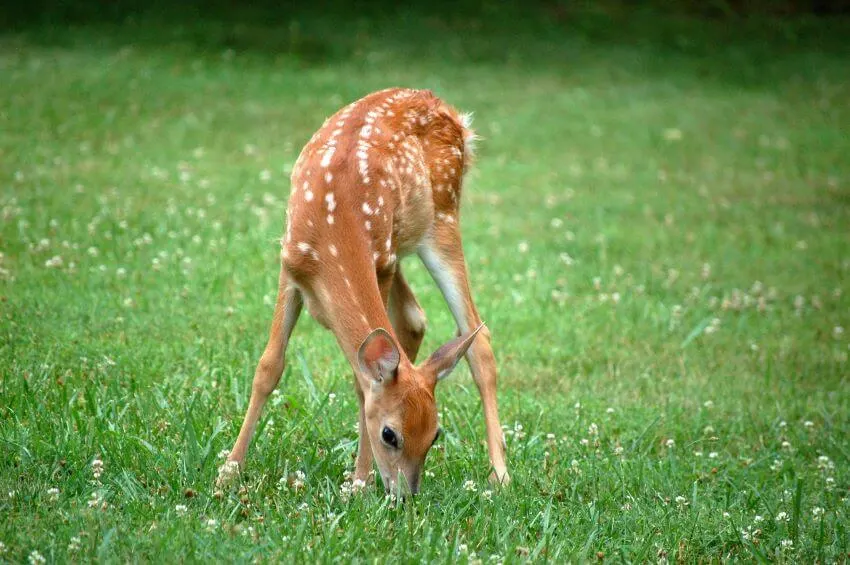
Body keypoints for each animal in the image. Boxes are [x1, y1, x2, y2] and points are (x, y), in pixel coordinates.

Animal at [219, 85, 510, 494]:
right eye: (390, 434)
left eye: (434, 436)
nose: (405, 495)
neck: (334, 234)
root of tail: (447, 108)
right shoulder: (290, 265)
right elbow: (269, 367)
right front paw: (228, 472)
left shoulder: (379, 263)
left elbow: (360, 383)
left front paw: (359, 482)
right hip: (403, 243)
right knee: (415, 319)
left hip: (441, 218)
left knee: (476, 338)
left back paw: (500, 473)